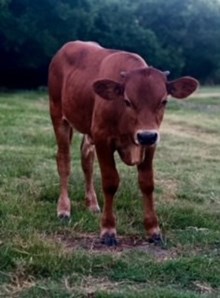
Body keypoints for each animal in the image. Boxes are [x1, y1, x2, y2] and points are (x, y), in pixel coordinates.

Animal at [47, 40, 198, 246]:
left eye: (164, 101)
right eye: (127, 101)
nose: (146, 136)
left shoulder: (150, 145)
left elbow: (147, 183)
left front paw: (153, 229)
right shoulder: (102, 139)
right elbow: (110, 182)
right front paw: (108, 230)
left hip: (88, 131)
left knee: (87, 161)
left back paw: (92, 204)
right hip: (58, 115)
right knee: (64, 161)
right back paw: (63, 209)